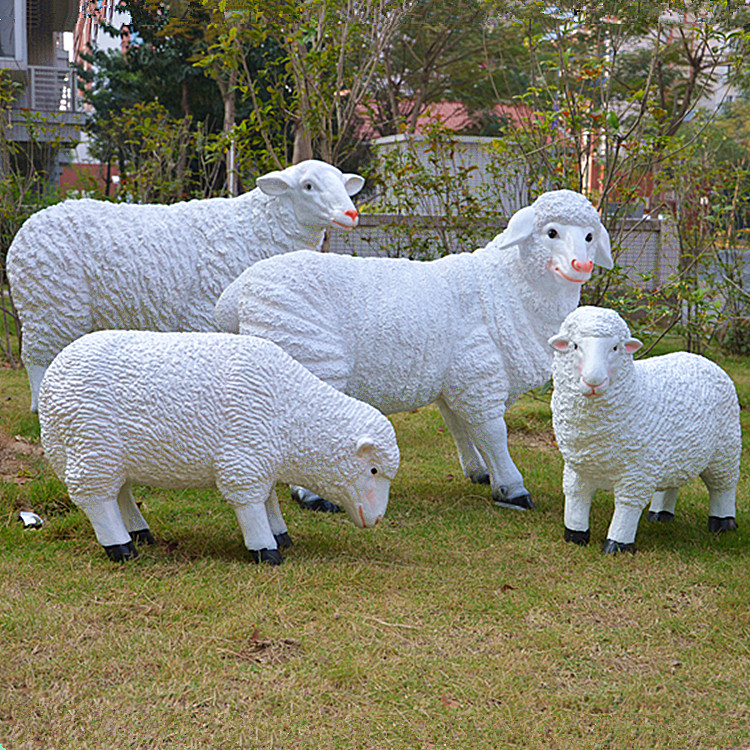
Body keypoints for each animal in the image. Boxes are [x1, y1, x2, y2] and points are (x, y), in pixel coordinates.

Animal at [5, 159, 364, 414]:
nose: (351, 213)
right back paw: (40, 409)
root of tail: (26, 228)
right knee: (36, 358)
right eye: (308, 185)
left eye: (343, 183)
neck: (253, 228)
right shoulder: (204, 311)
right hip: (50, 303)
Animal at [36, 332, 400, 568]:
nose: (378, 518)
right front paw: (266, 551)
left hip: (108, 454)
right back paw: (122, 548)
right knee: (96, 499)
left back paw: (140, 532)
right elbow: (251, 507)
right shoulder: (243, 461)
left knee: (120, 492)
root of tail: (53, 376)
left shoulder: (261, 458)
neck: (291, 414)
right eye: (373, 469)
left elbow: (270, 501)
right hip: (90, 445)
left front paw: (281, 534)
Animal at [214, 189, 612, 512]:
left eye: (590, 236)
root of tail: (237, 293)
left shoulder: (455, 377)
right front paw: (512, 489)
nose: (582, 265)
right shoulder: (477, 371)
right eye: (551, 232)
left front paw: (480, 472)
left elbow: (461, 427)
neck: (505, 286)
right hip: (307, 353)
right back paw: (310, 497)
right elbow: (493, 432)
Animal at [548, 302, 744, 556]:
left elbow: (627, 507)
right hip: (673, 452)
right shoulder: (578, 467)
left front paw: (616, 545)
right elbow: (575, 497)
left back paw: (723, 523)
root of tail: (701, 358)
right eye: (574, 345)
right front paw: (575, 536)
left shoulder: (636, 474)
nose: (594, 381)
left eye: (615, 347)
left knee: (723, 486)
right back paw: (660, 515)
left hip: (725, 449)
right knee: (671, 484)